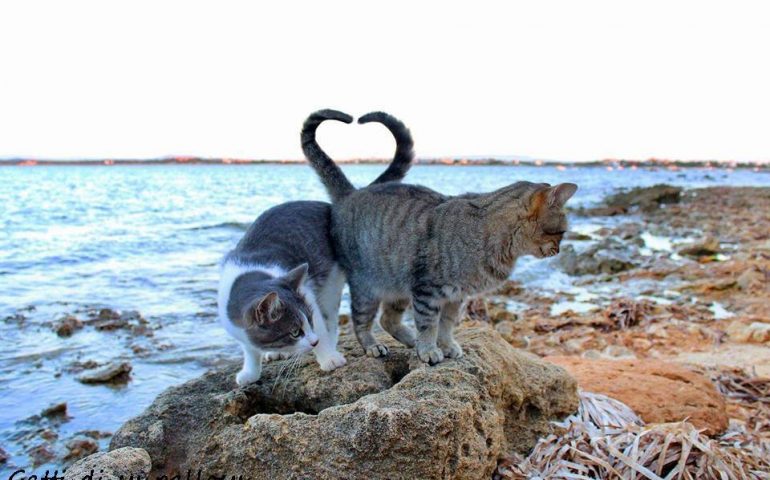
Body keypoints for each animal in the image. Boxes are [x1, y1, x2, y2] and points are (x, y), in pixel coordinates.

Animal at [216, 109, 414, 386]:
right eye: (294, 331)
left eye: (307, 322)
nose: (312, 341)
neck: (251, 276)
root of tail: (343, 201)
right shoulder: (238, 327)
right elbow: (250, 349)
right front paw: (251, 372)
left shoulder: (310, 298)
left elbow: (322, 325)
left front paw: (329, 357)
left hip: (332, 283)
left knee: (333, 319)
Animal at [302, 109, 576, 364]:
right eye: (562, 232)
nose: (559, 250)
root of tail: (351, 193)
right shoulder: (427, 290)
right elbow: (428, 324)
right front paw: (428, 350)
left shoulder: (456, 296)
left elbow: (446, 324)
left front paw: (445, 345)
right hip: (366, 286)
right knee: (361, 321)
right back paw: (372, 345)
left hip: (398, 287)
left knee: (388, 319)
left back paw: (409, 339)